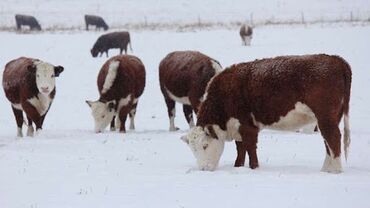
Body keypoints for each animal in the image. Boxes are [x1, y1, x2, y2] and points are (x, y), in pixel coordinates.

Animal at [182, 54, 352, 173]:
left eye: (205, 145)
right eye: (192, 149)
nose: (204, 169)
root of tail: (336, 59)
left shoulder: (247, 127)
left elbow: (250, 149)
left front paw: (254, 168)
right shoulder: (237, 128)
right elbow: (240, 150)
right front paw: (238, 167)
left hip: (325, 117)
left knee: (333, 139)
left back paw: (334, 171)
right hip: (331, 118)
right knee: (328, 142)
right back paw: (326, 169)